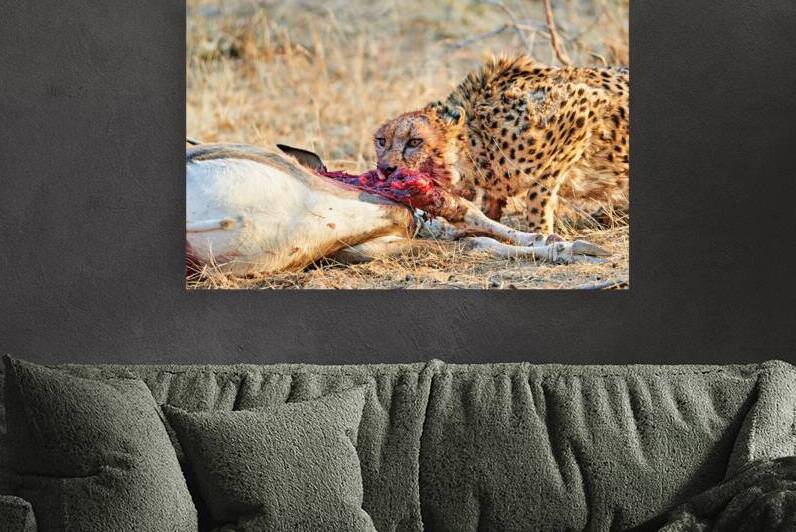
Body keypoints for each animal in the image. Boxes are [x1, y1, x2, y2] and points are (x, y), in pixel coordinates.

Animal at [373, 55, 629, 235]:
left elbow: (538, 192)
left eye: (414, 142)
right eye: (381, 141)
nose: (385, 169)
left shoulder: (582, 107)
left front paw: (542, 233)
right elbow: (492, 203)